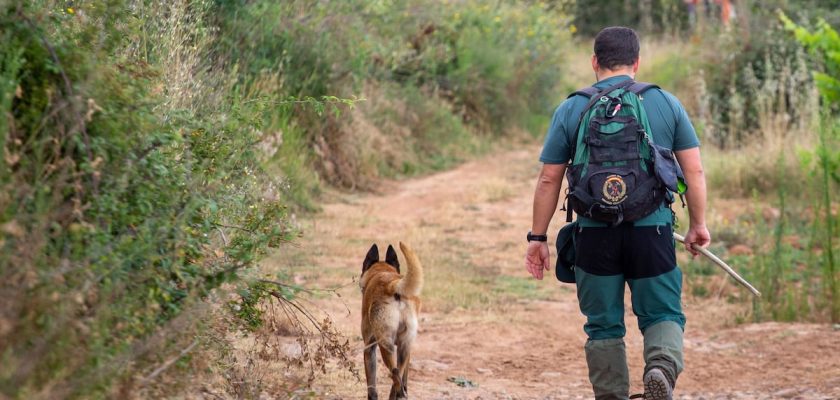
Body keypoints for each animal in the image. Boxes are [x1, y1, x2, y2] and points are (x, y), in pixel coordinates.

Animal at [360, 242, 426, 400]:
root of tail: (393, 284)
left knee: (395, 374)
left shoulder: (369, 348)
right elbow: (404, 377)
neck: (381, 272)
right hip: (404, 348)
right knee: (398, 376)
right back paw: (401, 394)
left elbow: (372, 388)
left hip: (385, 346)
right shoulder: (407, 350)